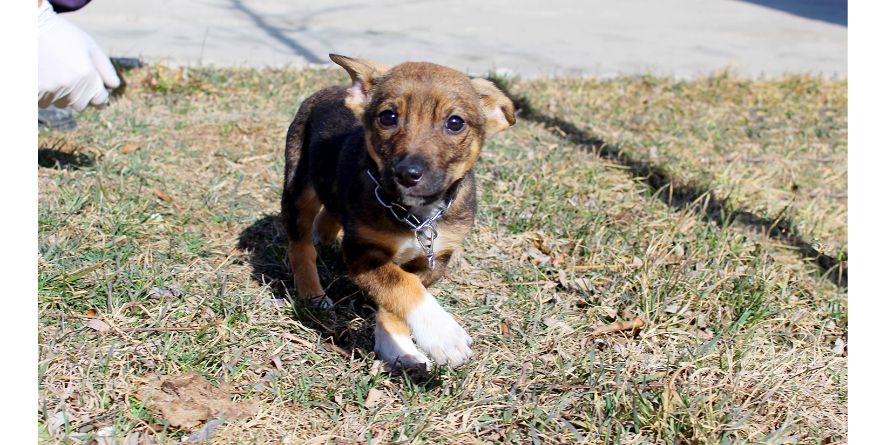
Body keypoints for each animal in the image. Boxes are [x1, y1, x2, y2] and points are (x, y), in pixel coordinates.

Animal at [280, 53, 516, 370]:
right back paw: (312, 293)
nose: (407, 173)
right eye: (388, 117)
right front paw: (442, 334)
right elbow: (402, 285)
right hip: (298, 184)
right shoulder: (361, 252)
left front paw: (398, 347)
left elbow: (397, 296)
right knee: (300, 245)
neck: (416, 214)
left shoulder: (434, 260)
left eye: (455, 123)